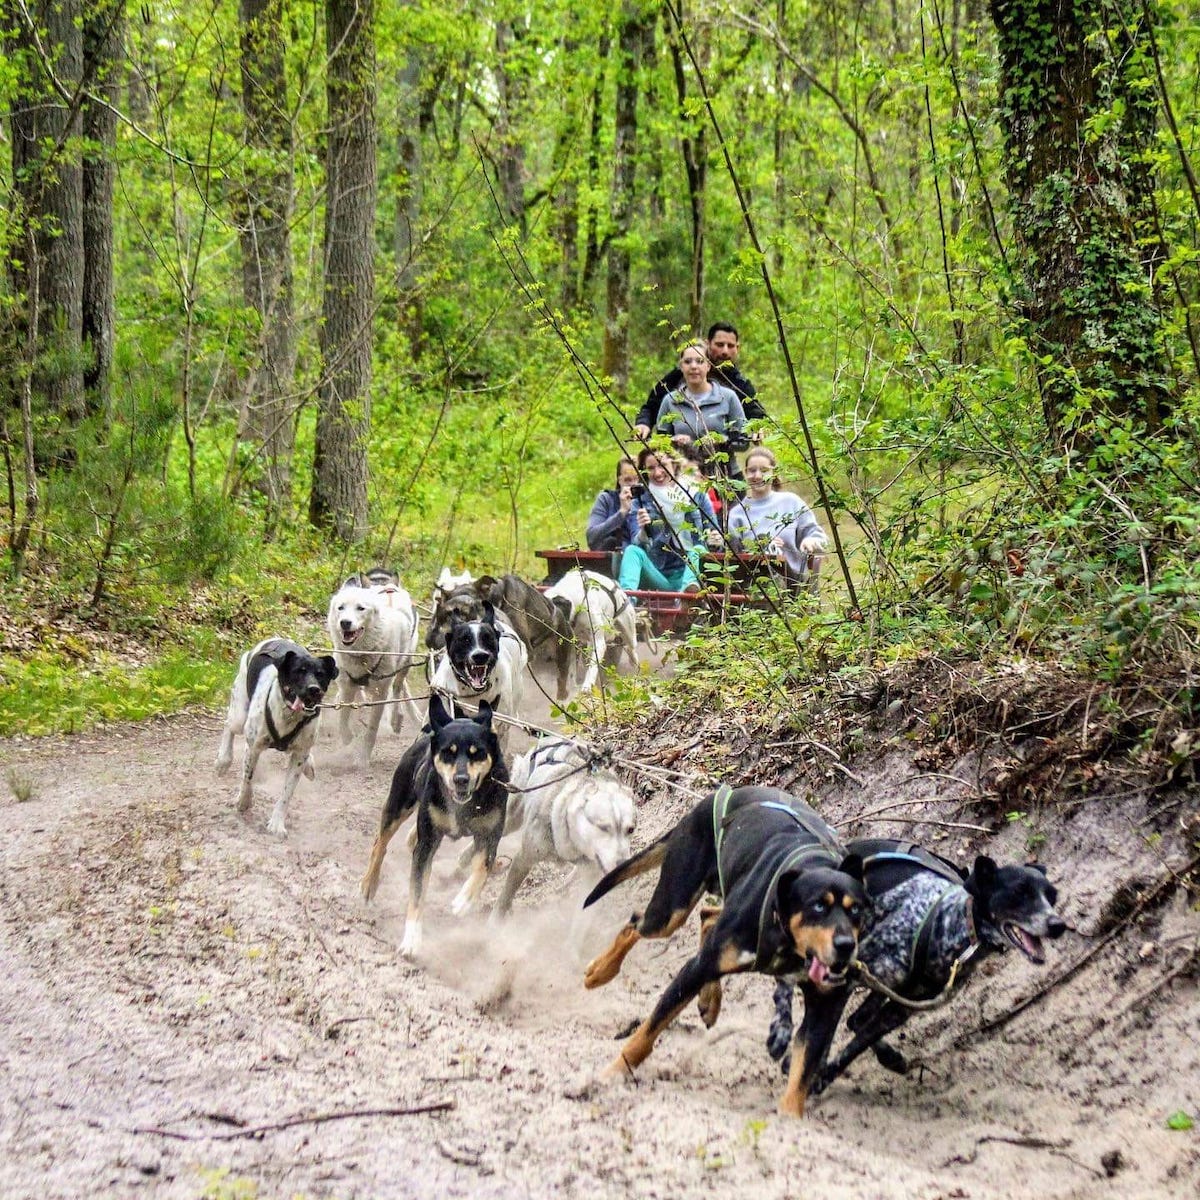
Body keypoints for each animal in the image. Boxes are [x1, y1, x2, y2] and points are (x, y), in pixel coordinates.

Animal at [214, 638, 336, 835]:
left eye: (321, 674)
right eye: (298, 671)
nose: (314, 689)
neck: (290, 716)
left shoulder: (299, 755)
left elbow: (287, 792)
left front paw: (277, 823)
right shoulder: (253, 748)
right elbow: (247, 779)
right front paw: (244, 801)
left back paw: (309, 764)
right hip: (239, 715)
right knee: (228, 726)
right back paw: (223, 760)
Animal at [355, 696, 506, 955]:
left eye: (477, 753)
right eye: (448, 752)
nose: (461, 779)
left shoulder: (489, 837)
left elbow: (482, 869)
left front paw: (464, 900)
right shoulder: (426, 847)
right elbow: (416, 894)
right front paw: (412, 939)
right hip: (399, 804)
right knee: (380, 844)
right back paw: (369, 884)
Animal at [492, 734, 638, 912]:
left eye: (630, 830)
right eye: (603, 827)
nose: (623, 865)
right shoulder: (523, 859)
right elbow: (504, 899)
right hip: (511, 816)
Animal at [580, 787, 864, 1113]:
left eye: (857, 910)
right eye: (818, 906)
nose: (846, 946)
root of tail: (715, 796)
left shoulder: (825, 1007)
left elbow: (804, 1070)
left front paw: (789, 1117)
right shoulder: (693, 970)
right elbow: (645, 1034)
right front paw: (614, 1073)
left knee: (707, 916)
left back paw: (709, 1000)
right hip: (671, 910)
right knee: (637, 923)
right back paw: (601, 971)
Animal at [763, 840, 1065, 1094]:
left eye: (1052, 896)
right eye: (1019, 892)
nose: (1058, 925)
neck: (952, 926)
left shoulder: (901, 1008)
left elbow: (857, 1041)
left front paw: (824, 1073)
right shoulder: (845, 977)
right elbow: (825, 1029)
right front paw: (809, 1066)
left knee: (857, 1019)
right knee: (787, 981)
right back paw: (781, 1030)